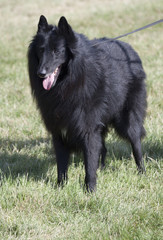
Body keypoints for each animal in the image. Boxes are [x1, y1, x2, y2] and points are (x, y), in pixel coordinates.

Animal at [27, 15, 147, 191]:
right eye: (41, 50)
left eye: (57, 51)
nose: (41, 73)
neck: (69, 82)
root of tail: (129, 49)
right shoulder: (59, 130)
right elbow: (62, 165)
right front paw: (60, 187)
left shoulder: (88, 130)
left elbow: (89, 162)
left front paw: (90, 190)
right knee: (103, 148)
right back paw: (102, 170)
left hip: (127, 121)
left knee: (136, 144)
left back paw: (141, 171)